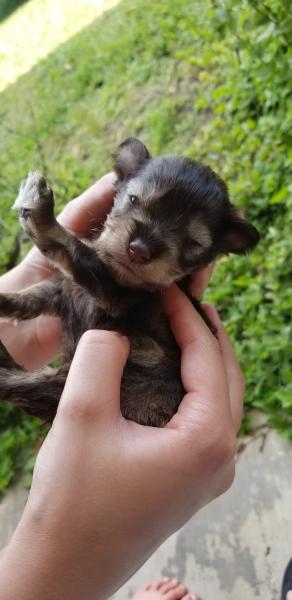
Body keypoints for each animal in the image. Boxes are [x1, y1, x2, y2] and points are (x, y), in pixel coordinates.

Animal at [0, 137, 258, 426]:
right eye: (133, 199)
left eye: (193, 243)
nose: (139, 250)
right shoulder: (62, 289)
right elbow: (31, 297)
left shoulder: (112, 293)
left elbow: (71, 248)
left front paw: (39, 210)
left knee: (19, 384)